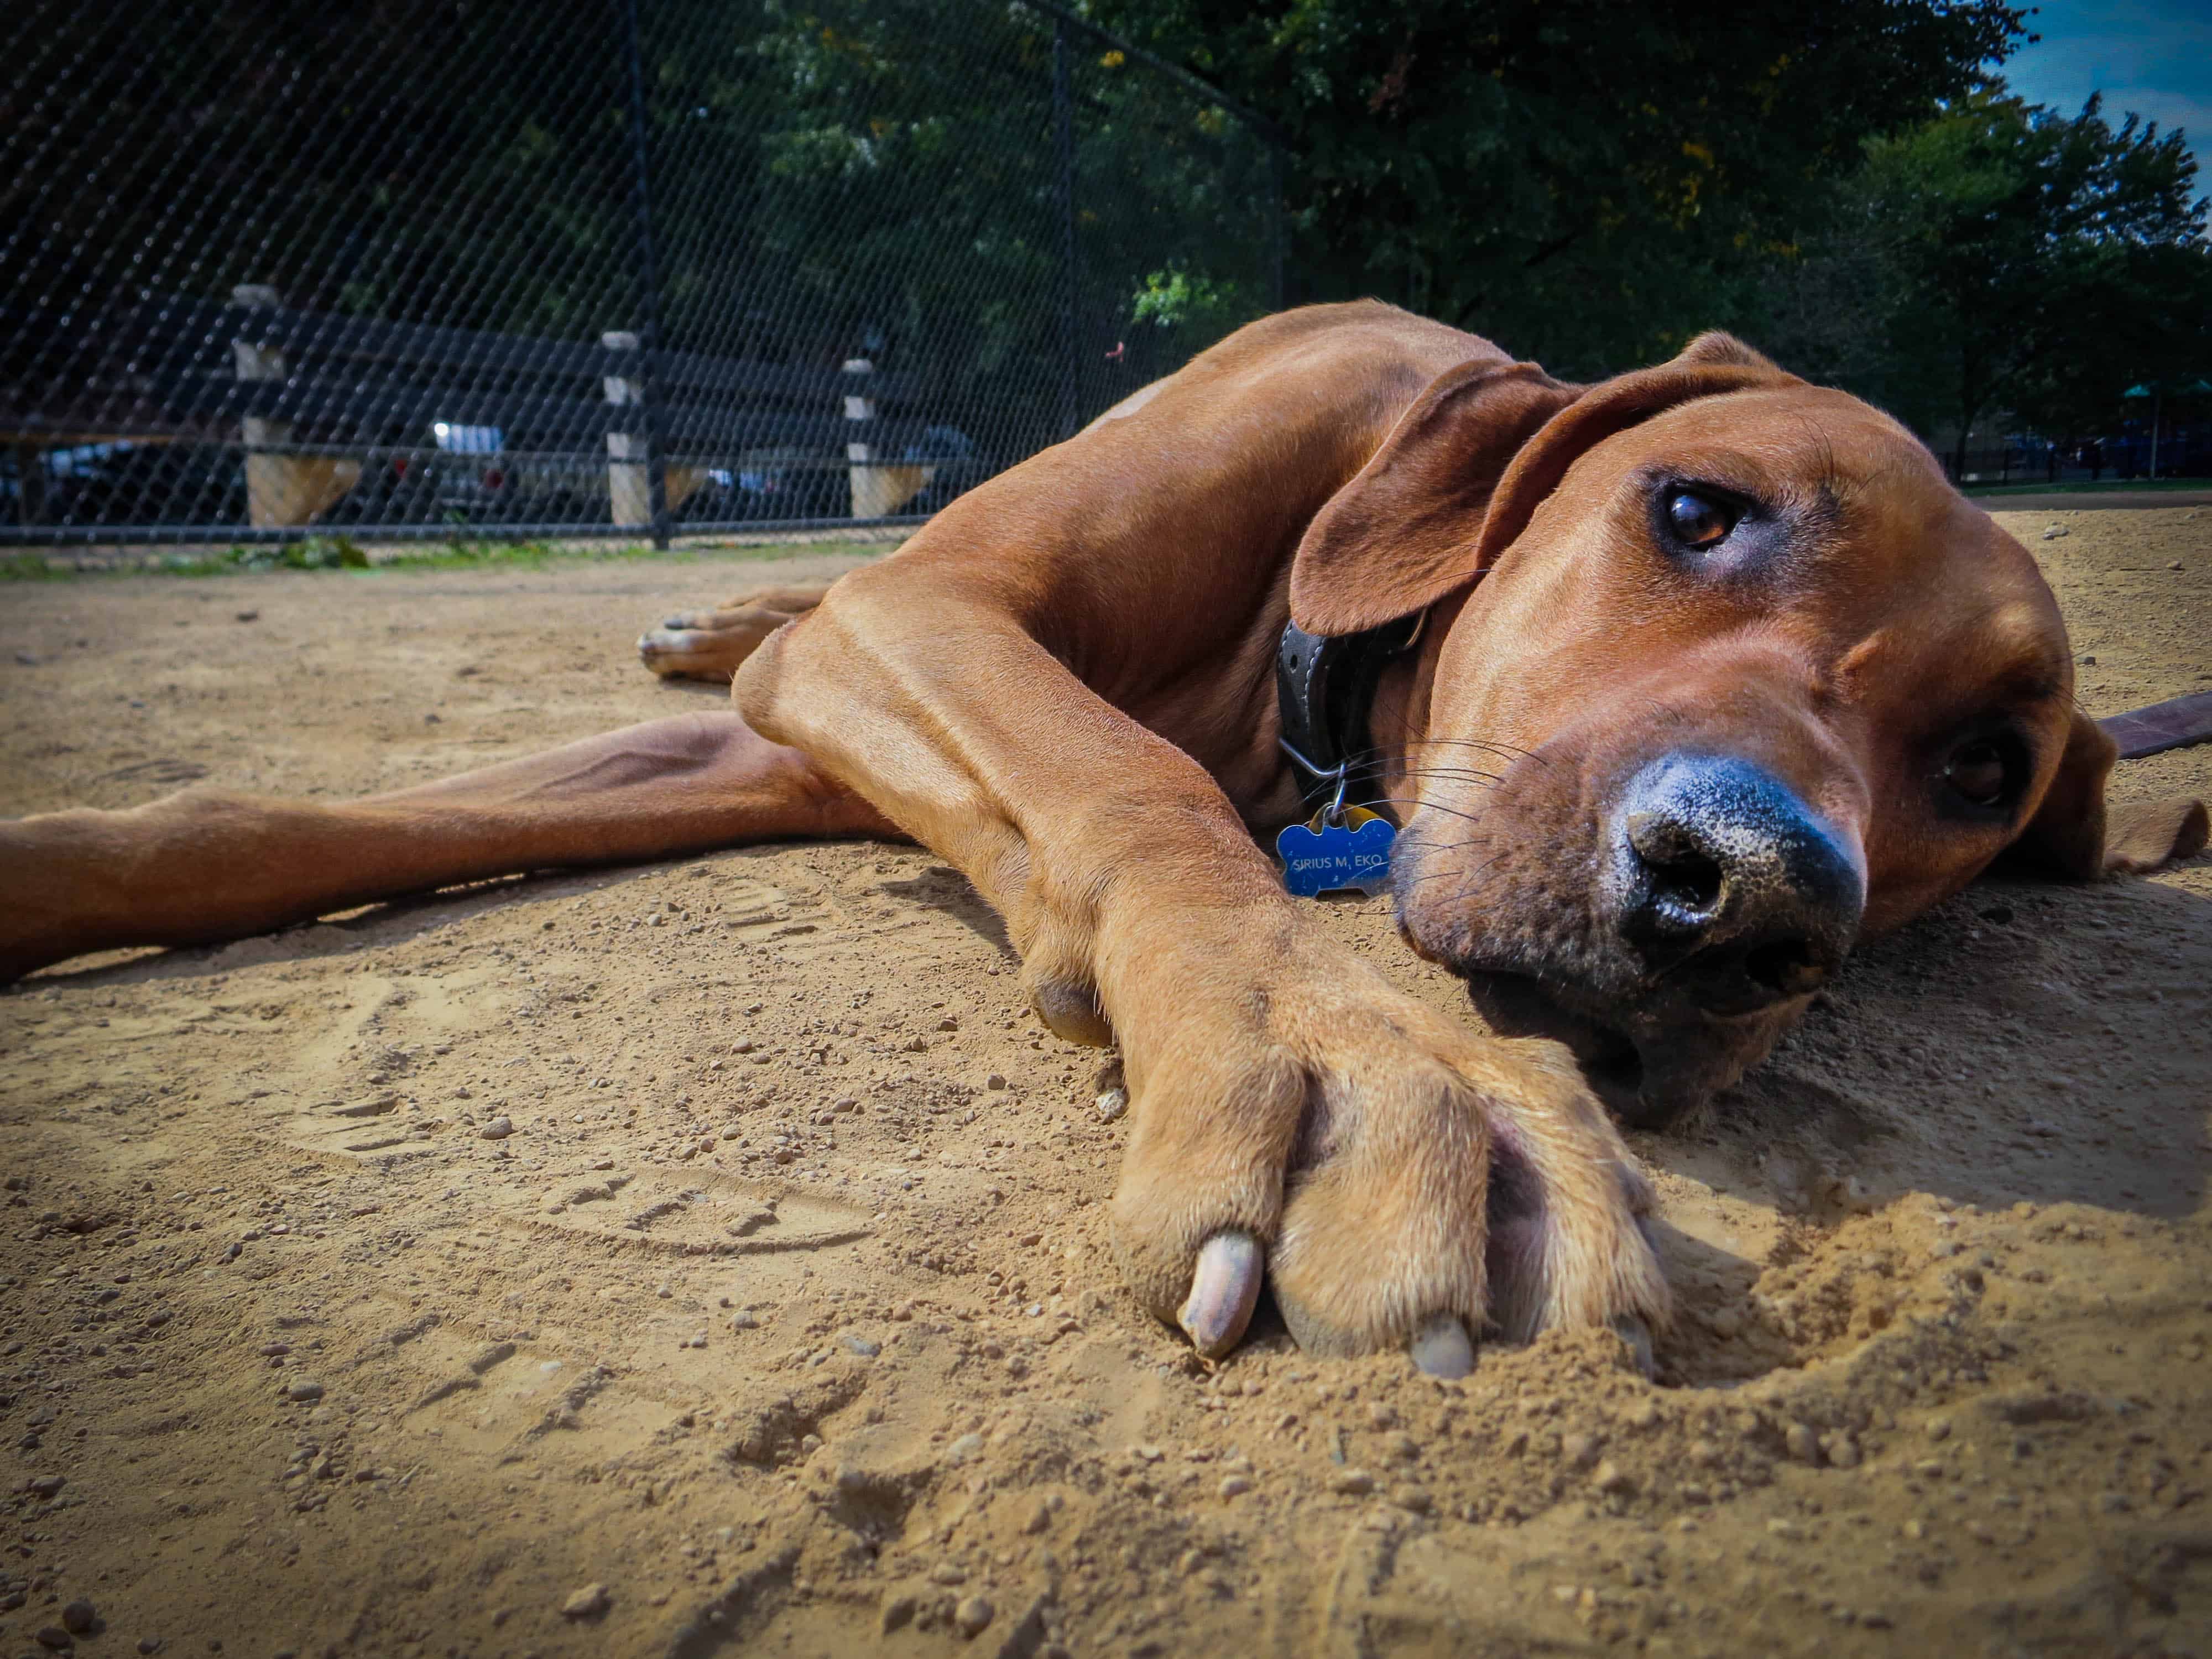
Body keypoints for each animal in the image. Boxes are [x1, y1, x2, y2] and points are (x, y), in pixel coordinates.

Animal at [0, 305, 2203, 1380]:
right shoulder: (917, 618)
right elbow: (1133, 784)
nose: (1744, 892)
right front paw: (1350, 1068)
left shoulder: (838, 710)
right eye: (1693, 509)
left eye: (1983, 763)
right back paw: (704, 605)